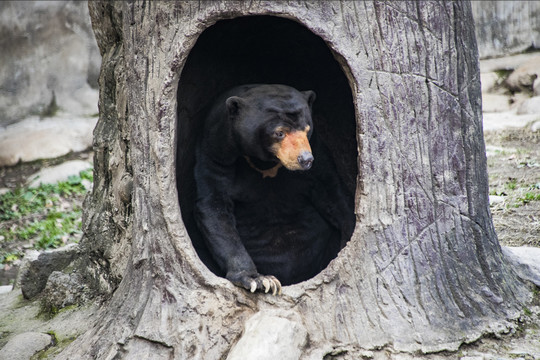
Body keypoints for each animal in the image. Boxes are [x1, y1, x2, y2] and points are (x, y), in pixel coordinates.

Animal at [194, 84, 354, 296]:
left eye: (306, 129)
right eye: (280, 133)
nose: (305, 160)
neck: (266, 162)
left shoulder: (317, 152)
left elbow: (332, 192)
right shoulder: (216, 150)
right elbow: (214, 206)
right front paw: (259, 280)